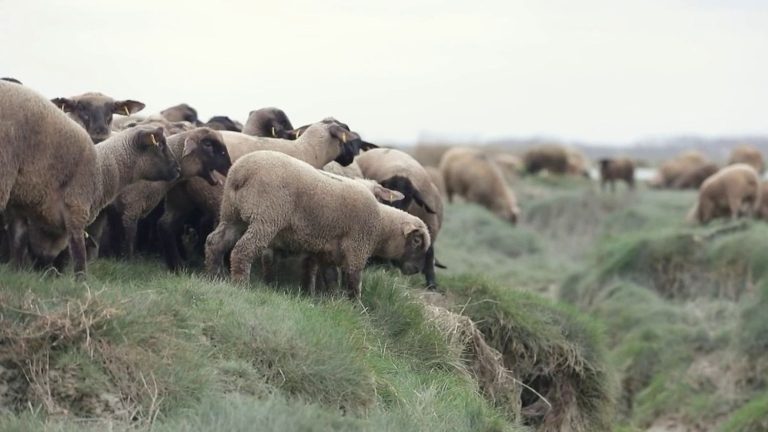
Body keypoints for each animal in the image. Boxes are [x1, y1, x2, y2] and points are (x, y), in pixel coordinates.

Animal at [2, 80, 178, 276]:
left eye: (112, 110)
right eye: (161, 145)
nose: (178, 169)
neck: (103, 167)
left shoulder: (21, 208)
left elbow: (19, 242)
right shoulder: (76, 210)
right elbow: (79, 255)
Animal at [204, 150, 432, 298]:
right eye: (417, 241)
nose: (415, 270)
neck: (381, 225)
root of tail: (241, 172)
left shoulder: (327, 253)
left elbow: (328, 278)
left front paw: (325, 301)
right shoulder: (357, 249)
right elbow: (353, 284)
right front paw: (357, 310)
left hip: (232, 214)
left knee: (215, 242)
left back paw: (213, 276)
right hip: (267, 217)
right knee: (243, 250)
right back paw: (240, 285)